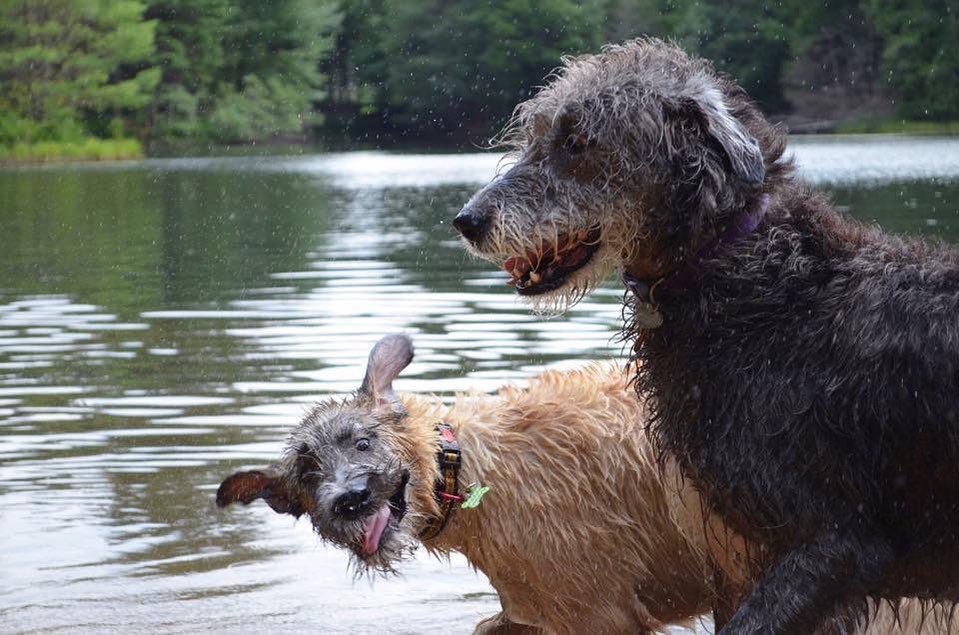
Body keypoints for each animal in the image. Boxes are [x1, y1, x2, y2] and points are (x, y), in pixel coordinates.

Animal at [219, 336, 952, 632]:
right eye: (307, 475)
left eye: (361, 441)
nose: (349, 500)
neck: (474, 472)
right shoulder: (538, 611)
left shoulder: (602, 615)